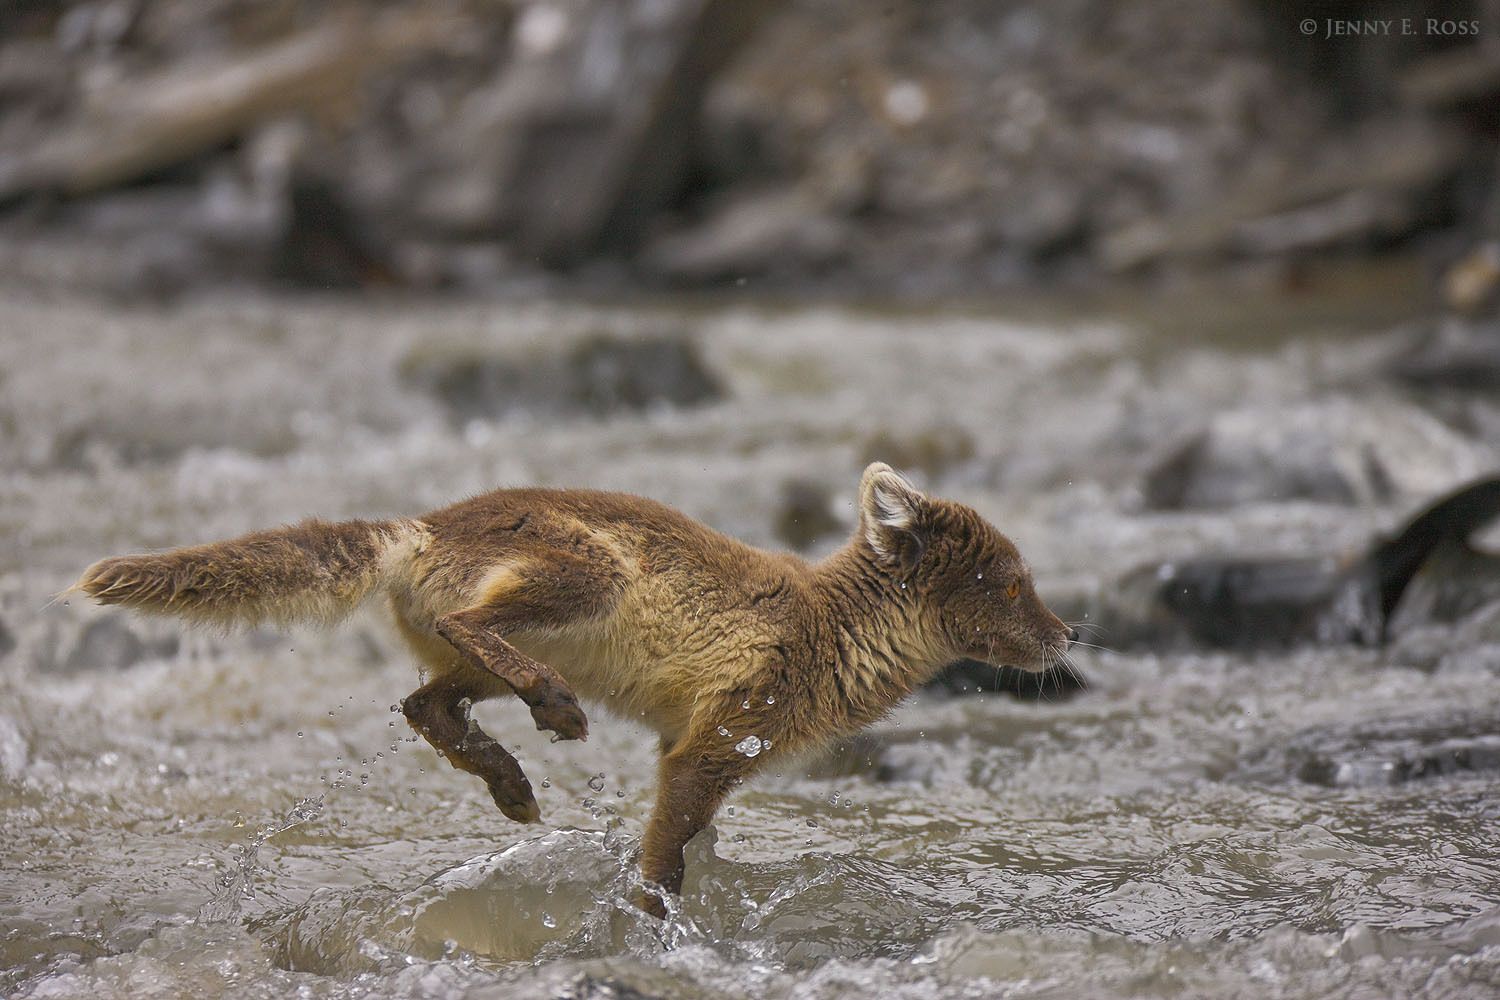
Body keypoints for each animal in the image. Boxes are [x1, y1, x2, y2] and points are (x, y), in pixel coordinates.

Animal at [76, 462, 1075, 916]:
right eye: (1012, 583)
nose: (1072, 635)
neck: (832, 630)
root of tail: (424, 525)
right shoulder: (717, 733)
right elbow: (666, 849)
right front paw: (653, 918)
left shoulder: (704, 746)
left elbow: (691, 837)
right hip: (583, 574)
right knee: (465, 633)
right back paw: (551, 710)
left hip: (480, 660)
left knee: (424, 702)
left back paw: (511, 782)